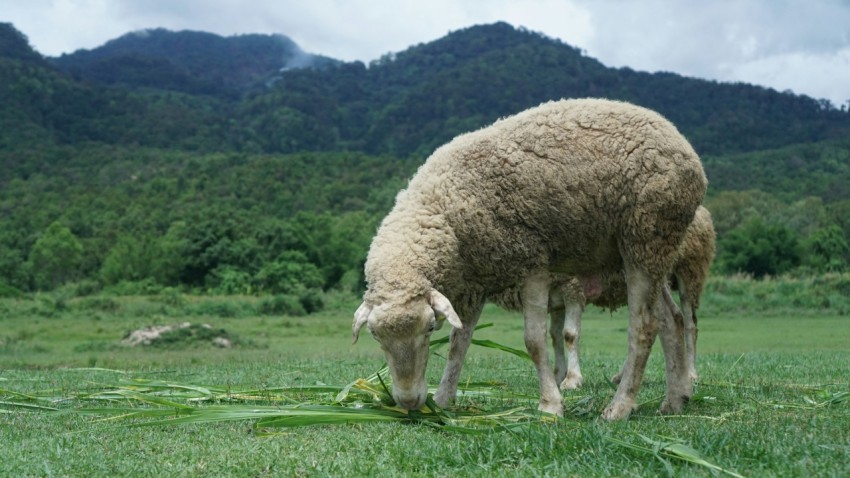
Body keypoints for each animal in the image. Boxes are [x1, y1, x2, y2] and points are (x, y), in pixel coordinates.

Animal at [352, 98, 707, 420]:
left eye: (428, 329)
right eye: (376, 336)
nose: (409, 402)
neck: (443, 208)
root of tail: (683, 143)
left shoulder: (532, 261)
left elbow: (534, 341)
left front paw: (550, 404)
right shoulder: (474, 283)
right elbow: (458, 344)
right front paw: (442, 400)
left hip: (646, 234)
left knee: (645, 326)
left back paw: (619, 407)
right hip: (648, 250)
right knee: (671, 320)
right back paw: (675, 400)